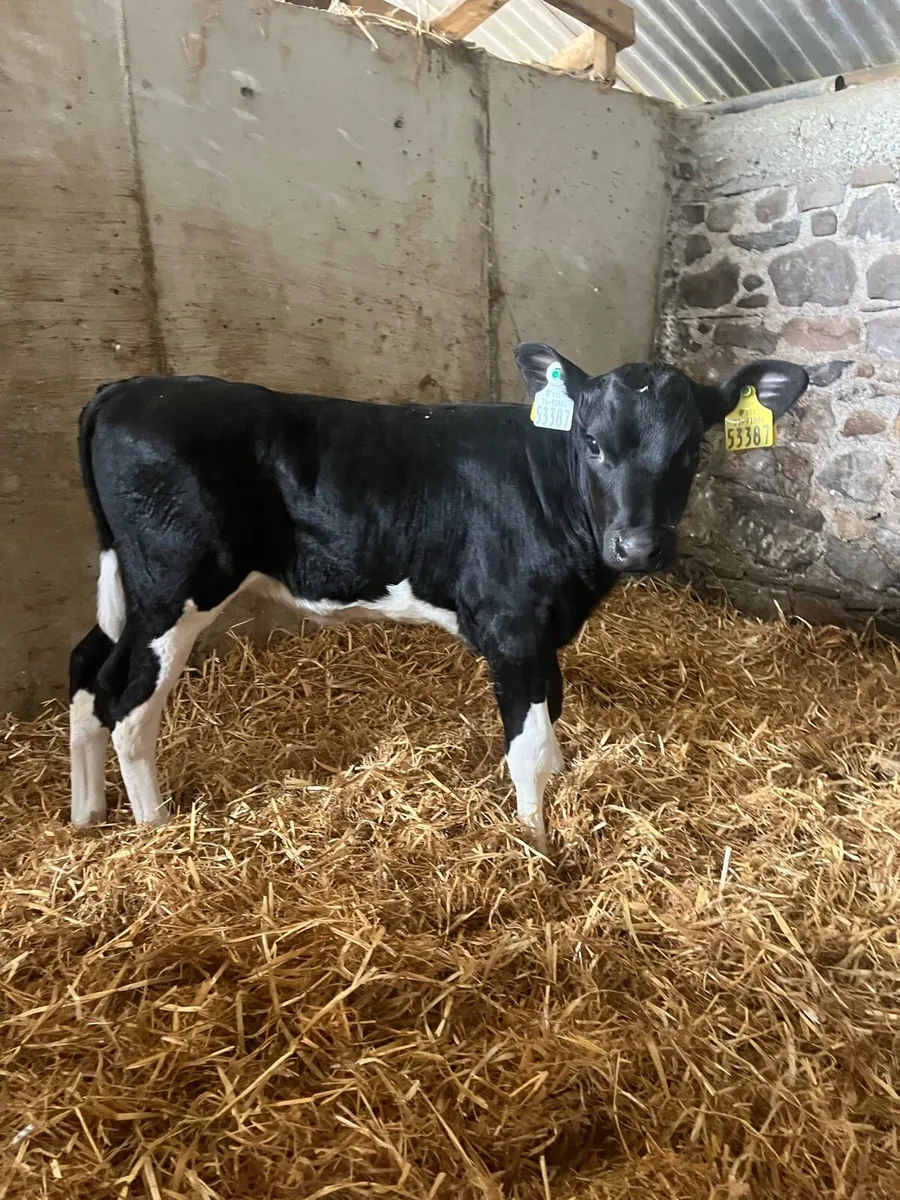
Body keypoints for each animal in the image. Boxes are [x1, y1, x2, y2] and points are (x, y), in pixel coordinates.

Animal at [69, 345, 809, 852]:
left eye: (690, 451)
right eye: (593, 443)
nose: (638, 547)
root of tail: (128, 387)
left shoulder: (544, 629)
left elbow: (552, 717)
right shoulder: (512, 627)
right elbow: (528, 744)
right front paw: (537, 842)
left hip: (129, 588)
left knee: (87, 671)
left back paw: (87, 815)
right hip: (174, 586)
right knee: (127, 702)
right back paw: (157, 829)